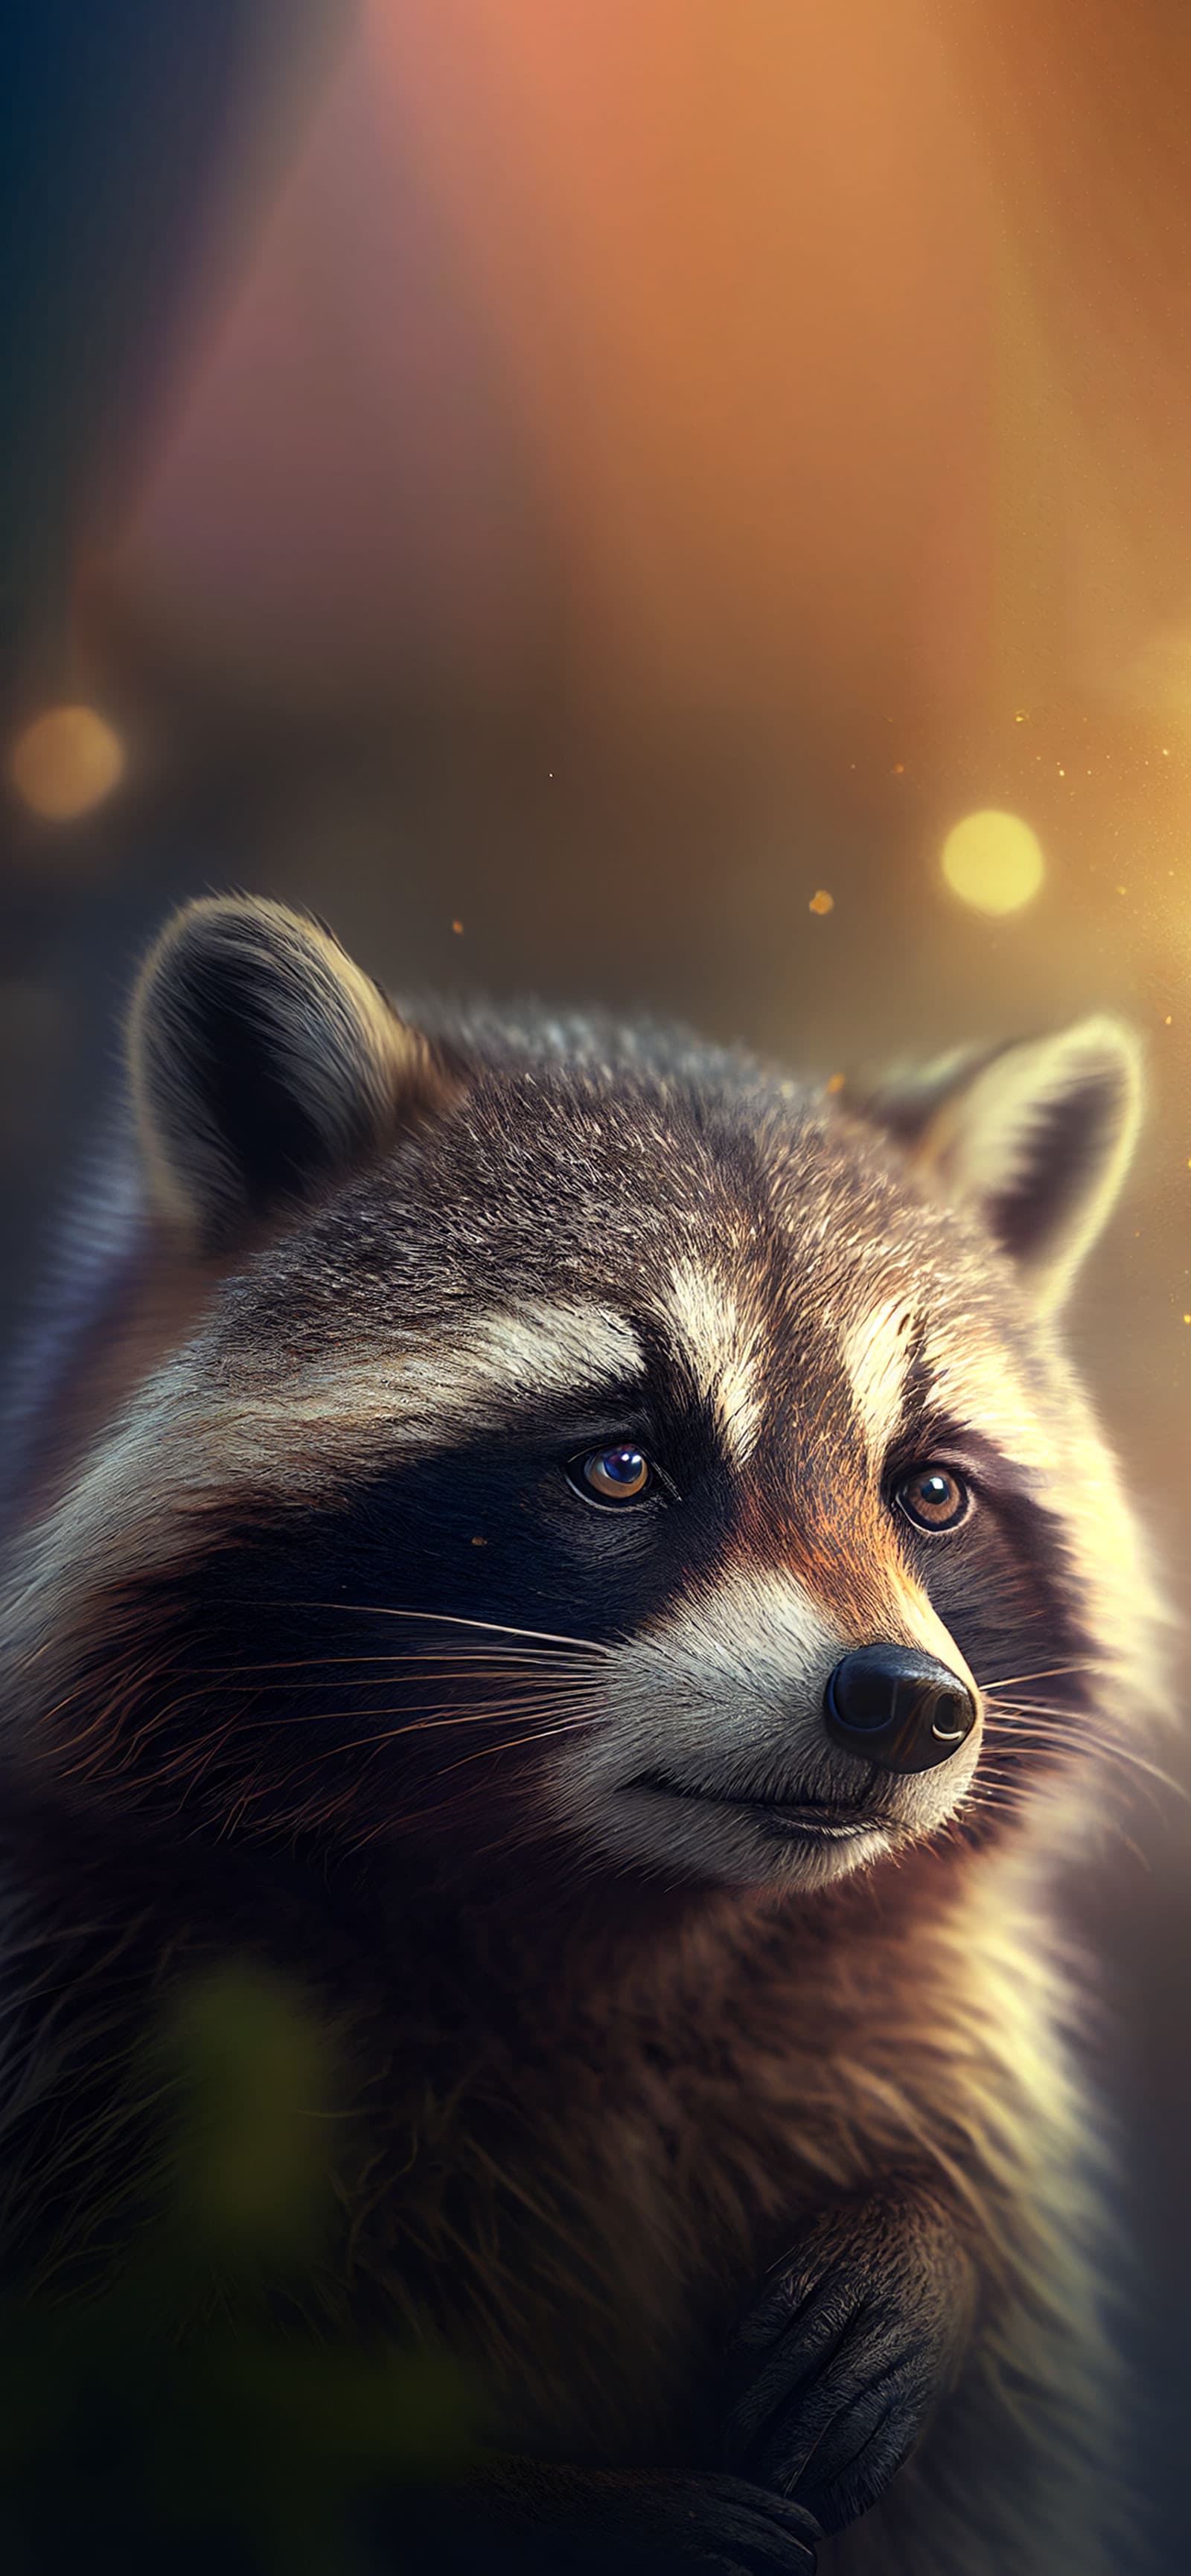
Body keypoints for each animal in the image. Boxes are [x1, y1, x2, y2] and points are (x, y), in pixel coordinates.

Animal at [0, 895, 1172, 2574]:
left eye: (930, 1492)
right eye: (621, 1466)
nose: (904, 1704)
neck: (622, 1928)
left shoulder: (916, 2030)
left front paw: (926, 2236)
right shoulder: (103, 2028)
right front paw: (539, 2506)